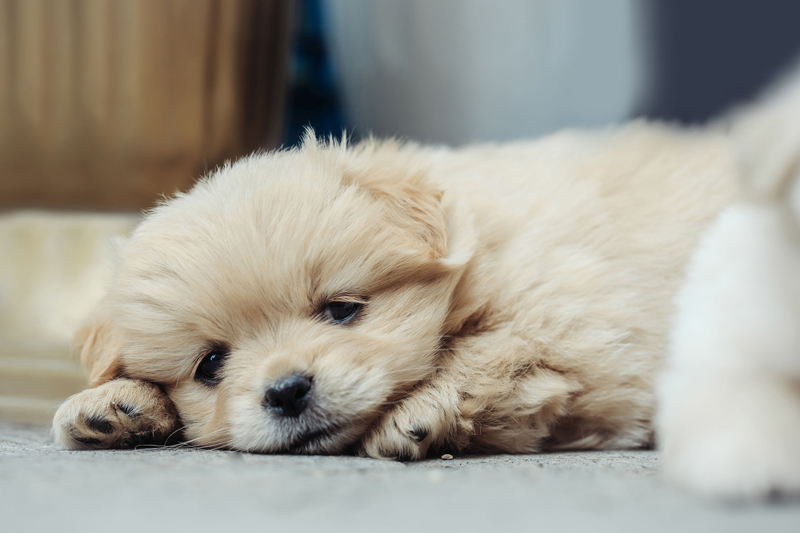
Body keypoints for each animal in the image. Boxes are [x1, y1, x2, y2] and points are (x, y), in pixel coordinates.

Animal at [51, 119, 736, 458]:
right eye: (210, 365)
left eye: (343, 310)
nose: (287, 391)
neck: (473, 257)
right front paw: (111, 404)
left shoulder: (582, 335)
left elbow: (487, 354)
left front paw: (417, 414)